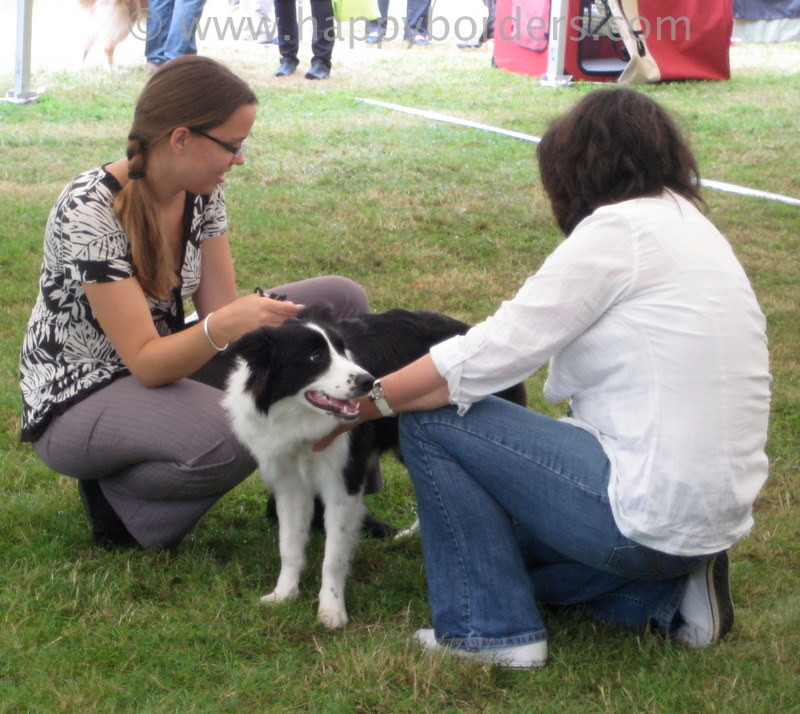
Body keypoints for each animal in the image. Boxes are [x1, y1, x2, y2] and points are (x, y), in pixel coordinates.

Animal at [223, 306, 524, 628]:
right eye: (315, 357)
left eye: (342, 349)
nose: (368, 381)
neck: (299, 417)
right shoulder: (289, 483)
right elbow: (289, 546)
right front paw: (284, 595)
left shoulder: (343, 481)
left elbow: (334, 557)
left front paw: (331, 610)